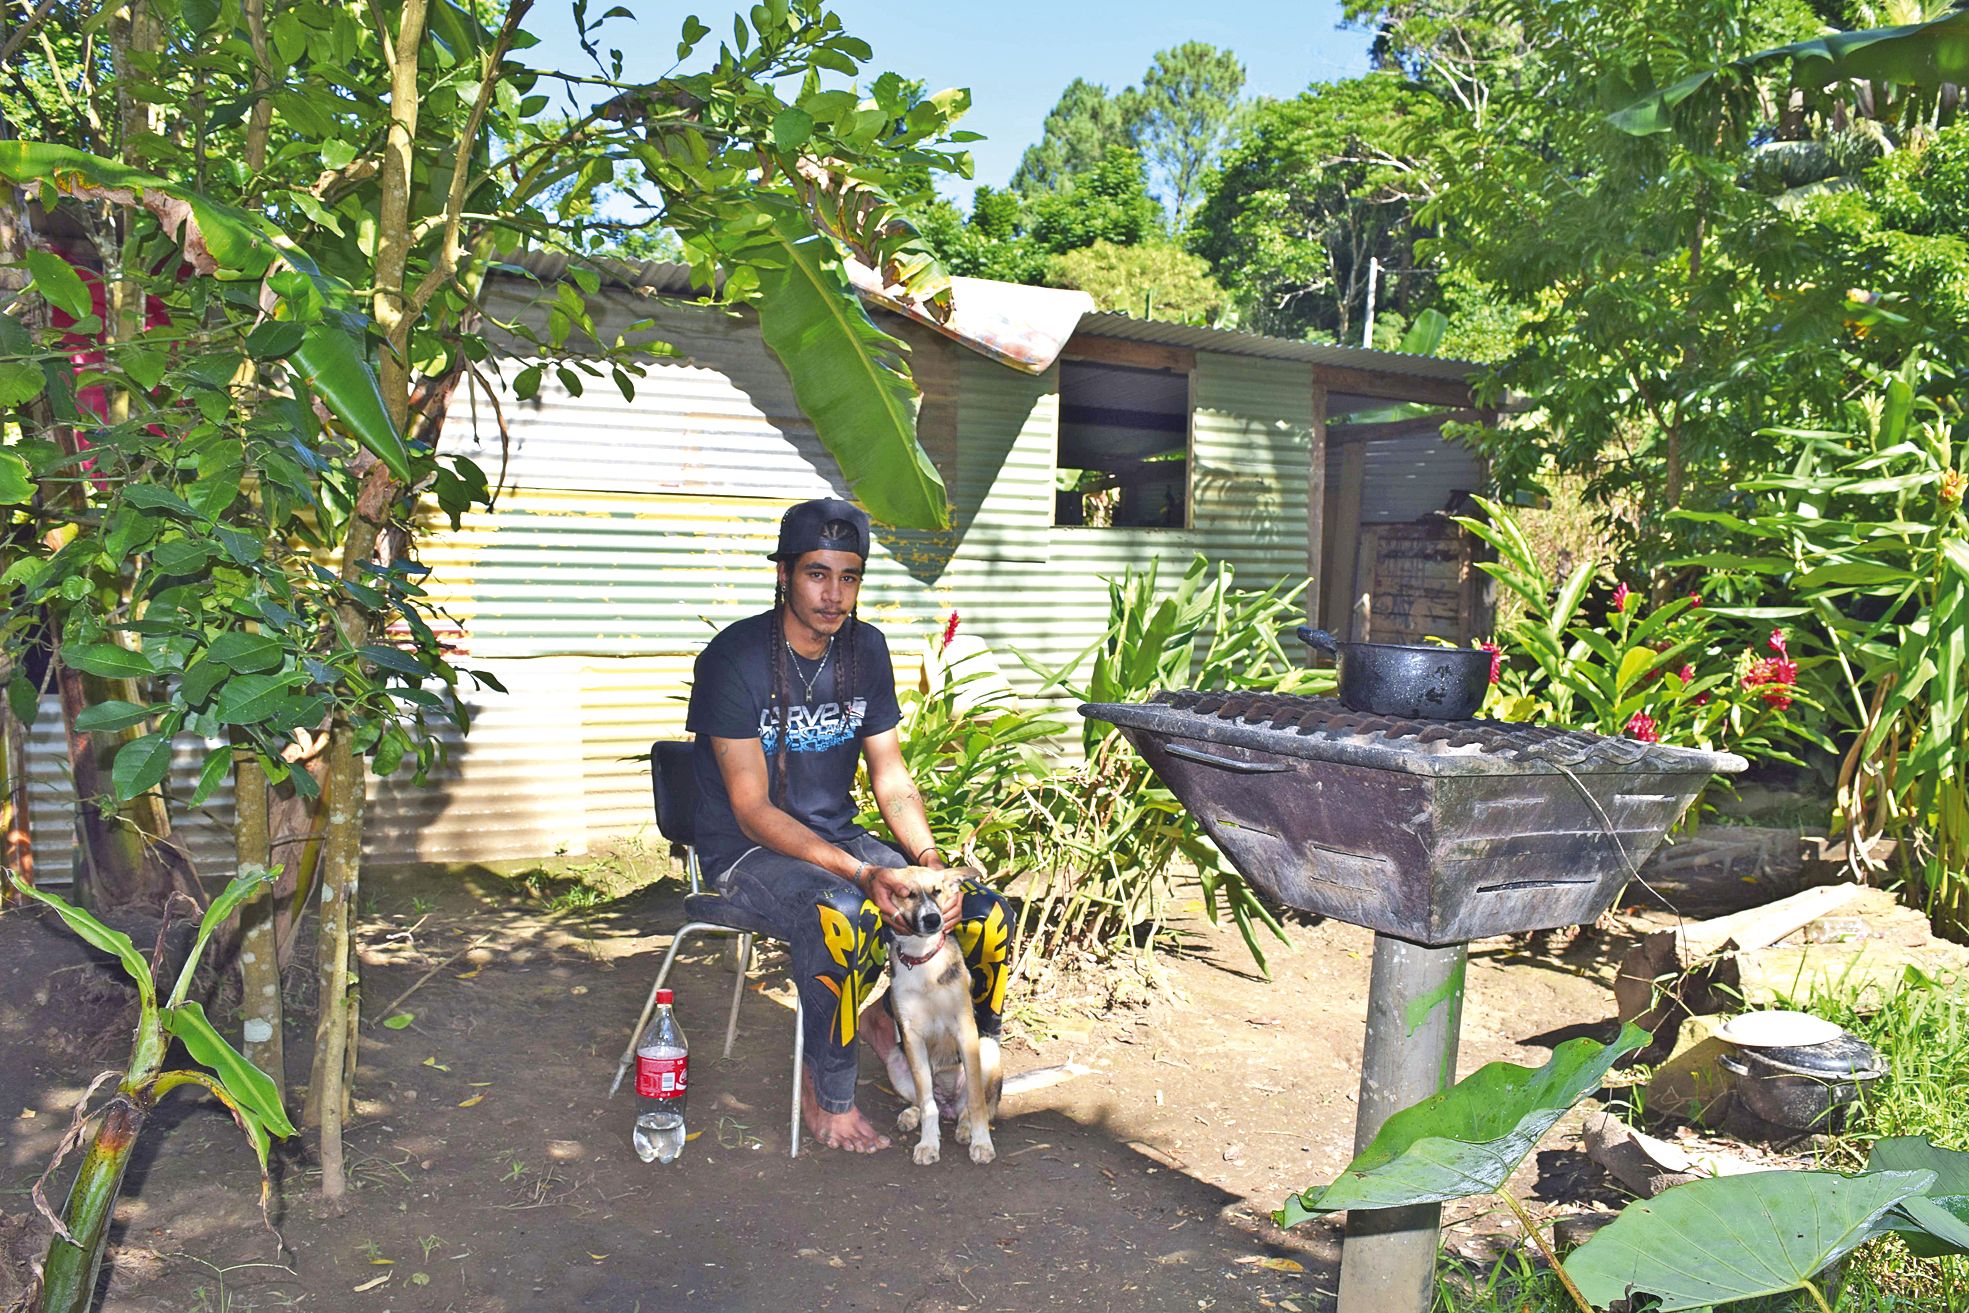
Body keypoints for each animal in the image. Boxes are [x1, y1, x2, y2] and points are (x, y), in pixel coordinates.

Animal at [882, 866, 1000, 1165]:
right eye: (907, 894)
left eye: (937, 891)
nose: (934, 919)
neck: (923, 959)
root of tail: (949, 1103)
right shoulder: (911, 1037)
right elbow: (927, 1104)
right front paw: (928, 1143)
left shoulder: (965, 1030)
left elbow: (977, 1102)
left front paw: (982, 1143)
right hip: (895, 1057)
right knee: (926, 1101)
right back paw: (912, 1115)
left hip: (988, 1048)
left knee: (971, 1107)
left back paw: (966, 1129)